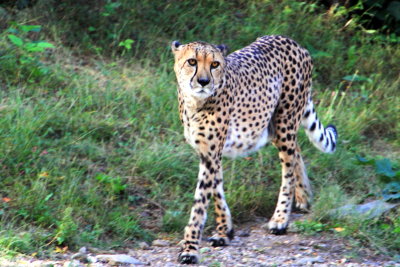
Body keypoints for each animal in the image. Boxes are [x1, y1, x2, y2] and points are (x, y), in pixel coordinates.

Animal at [171, 36, 338, 266]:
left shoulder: (212, 152)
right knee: (296, 151)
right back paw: (304, 197)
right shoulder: (208, 152)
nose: (204, 81)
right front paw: (225, 231)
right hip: (277, 127)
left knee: (288, 168)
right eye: (192, 62)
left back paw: (280, 219)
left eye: (215, 64)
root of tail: (292, 41)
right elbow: (217, 189)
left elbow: (200, 204)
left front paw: (190, 249)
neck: (195, 102)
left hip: (284, 123)